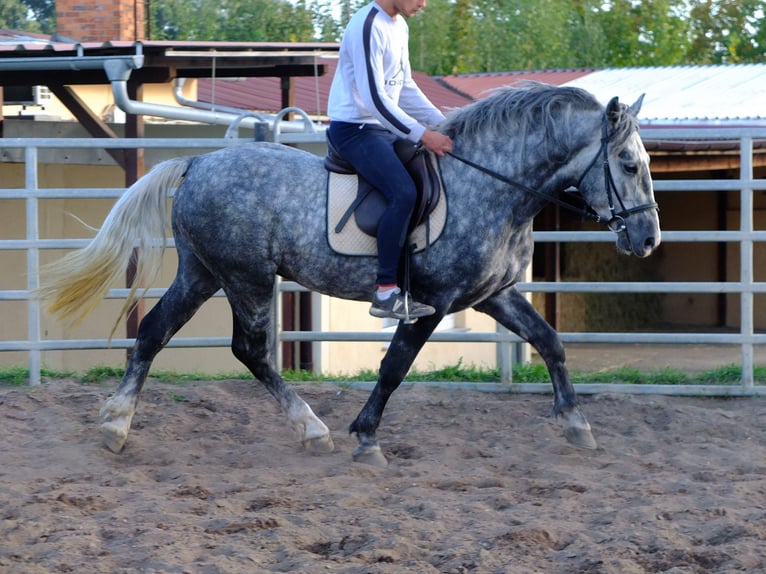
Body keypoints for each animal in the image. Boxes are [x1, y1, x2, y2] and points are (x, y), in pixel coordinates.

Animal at [37, 82, 660, 468]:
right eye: (629, 164)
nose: (649, 239)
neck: (491, 185)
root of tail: (196, 163)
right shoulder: (430, 302)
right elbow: (393, 367)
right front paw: (366, 439)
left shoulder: (494, 296)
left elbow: (551, 342)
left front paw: (576, 425)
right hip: (246, 277)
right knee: (250, 350)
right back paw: (312, 428)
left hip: (203, 273)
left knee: (153, 333)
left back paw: (116, 426)